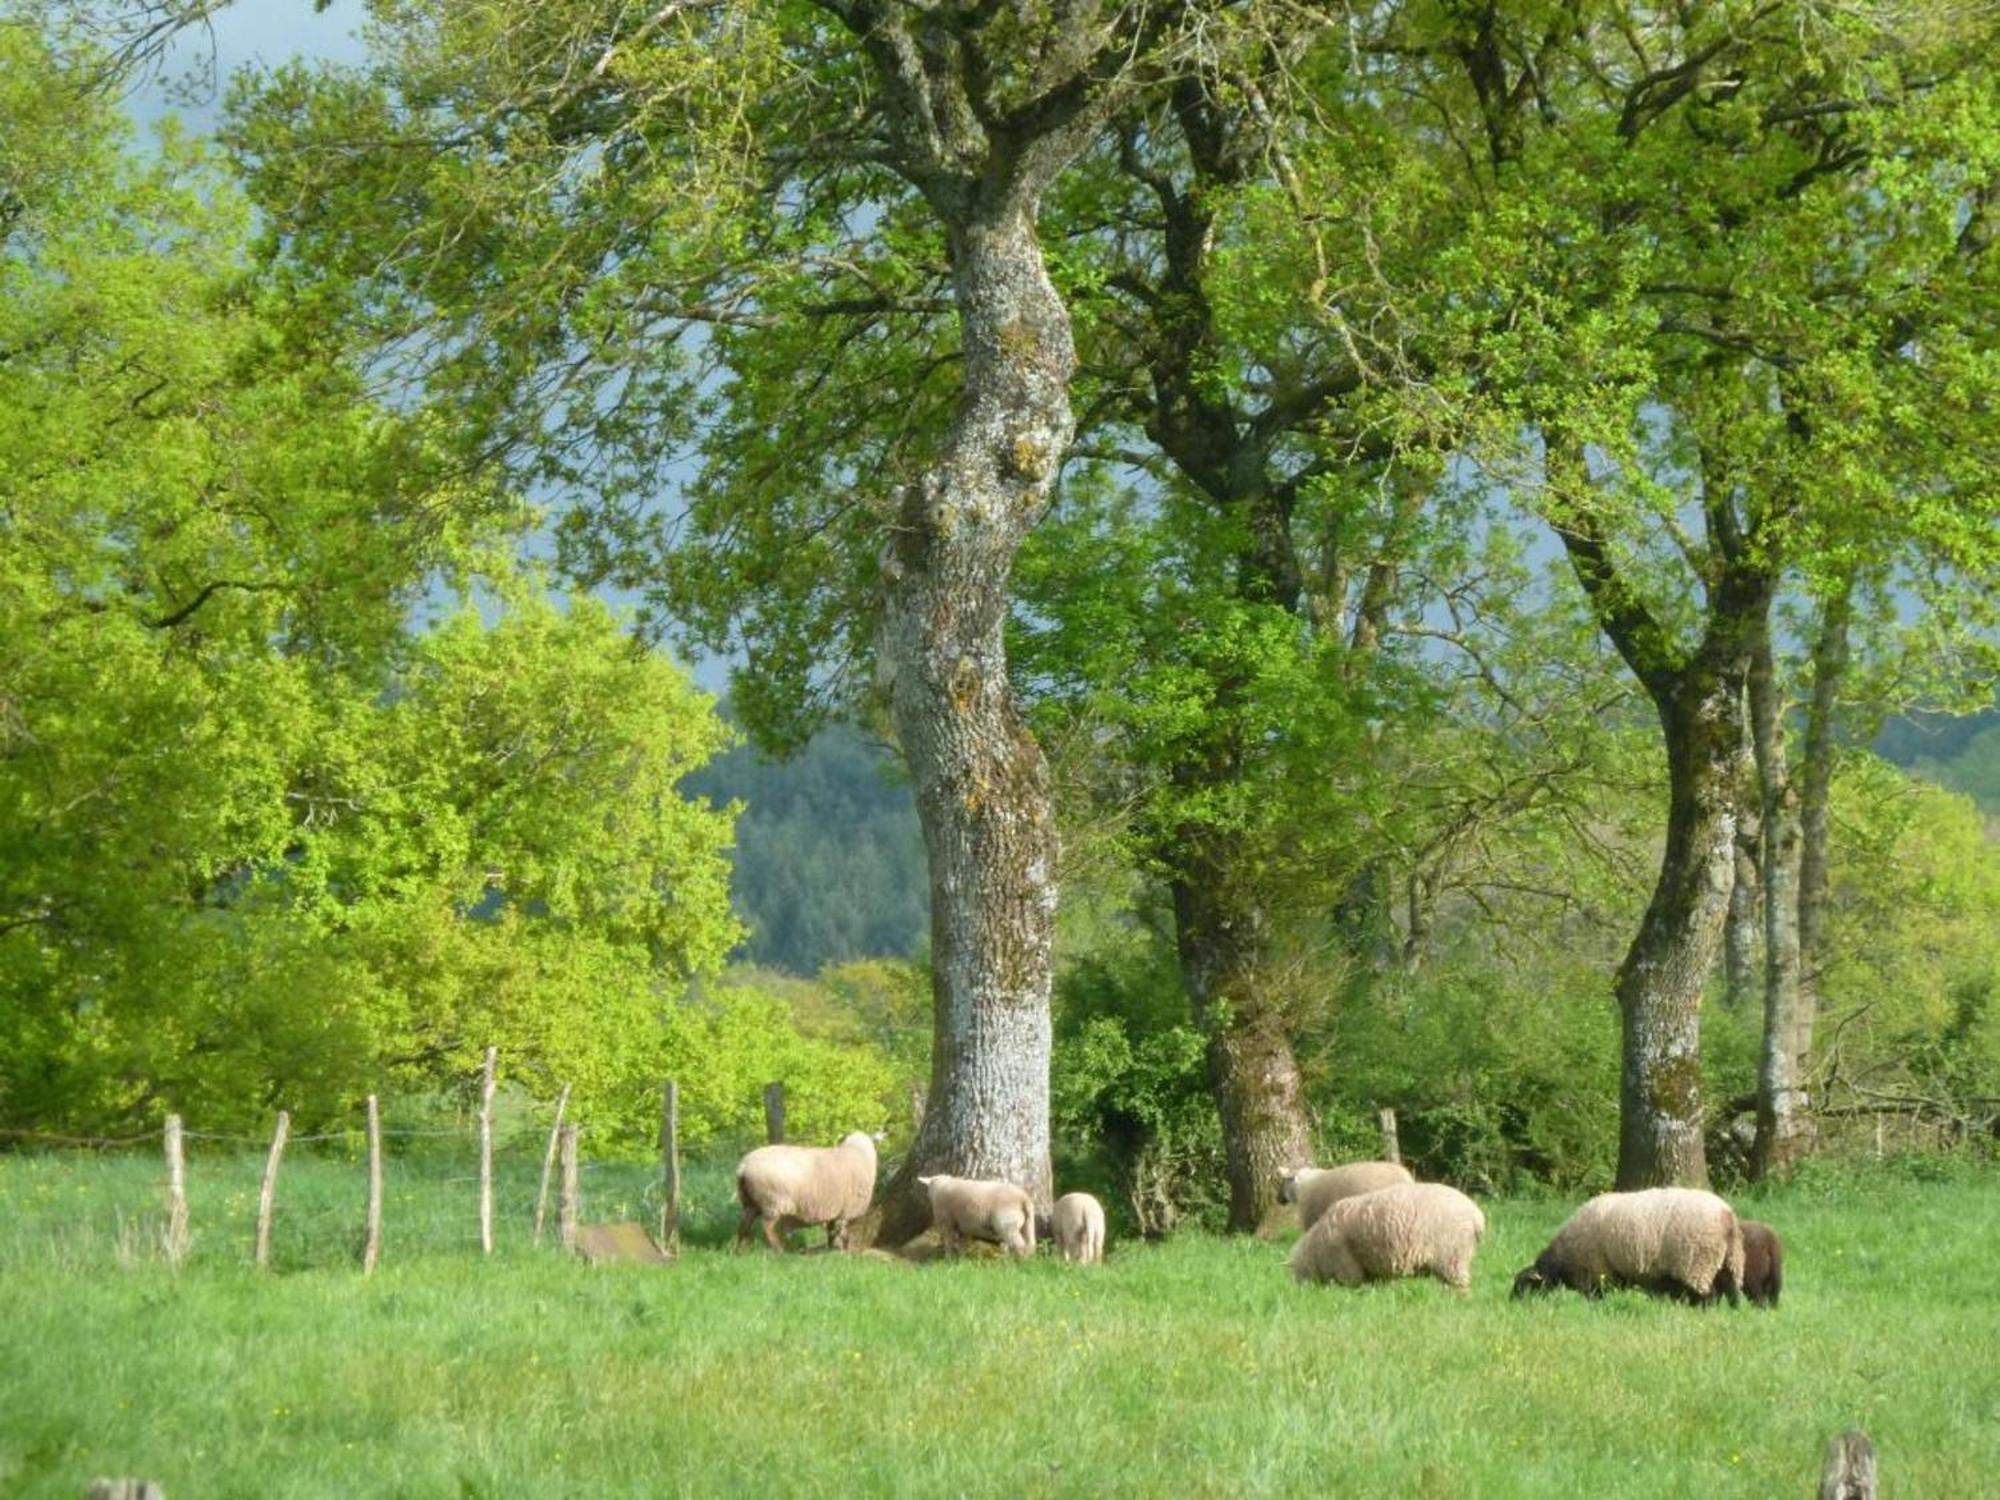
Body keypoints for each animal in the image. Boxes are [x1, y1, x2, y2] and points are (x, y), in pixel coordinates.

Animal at [736, 1128, 876, 1256]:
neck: (857, 1152)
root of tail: (744, 1166)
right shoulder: (846, 1210)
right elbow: (843, 1232)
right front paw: (844, 1251)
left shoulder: (833, 1208)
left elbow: (830, 1230)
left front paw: (830, 1248)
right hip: (773, 1201)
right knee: (767, 1228)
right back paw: (779, 1251)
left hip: (750, 1201)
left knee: (744, 1225)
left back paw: (740, 1251)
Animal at [1280, 1184, 1488, 1296]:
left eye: (1296, 1275)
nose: (1302, 1294)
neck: (1314, 1249)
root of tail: (1476, 1216)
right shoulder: (1371, 1269)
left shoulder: (1347, 1267)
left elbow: (1353, 1288)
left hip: (1452, 1256)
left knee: (1460, 1286)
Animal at [1504, 1184, 1744, 1304]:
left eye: (1524, 1286)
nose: (1512, 1304)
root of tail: (1727, 1216)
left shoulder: (1594, 1272)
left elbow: (1596, 1297)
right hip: (1728, 1262)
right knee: (1731, 1292)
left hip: (1697, 1262)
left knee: (1708, 1296)